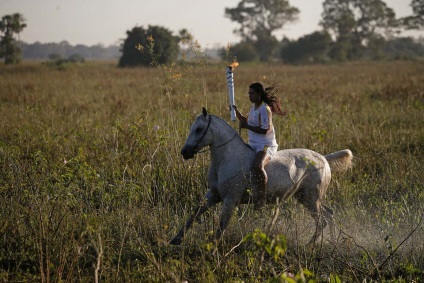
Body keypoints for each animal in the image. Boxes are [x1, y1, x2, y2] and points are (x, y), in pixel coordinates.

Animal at [171, 108, 352, 246]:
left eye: (199, 129)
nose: (185, 152)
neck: (227, 159)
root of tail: (324, 159)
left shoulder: (230, 199)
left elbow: (222, 225)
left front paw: (213, 247)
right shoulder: (213, 195)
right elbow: (194, 214)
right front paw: (175, 240)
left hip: (311, 199)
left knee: (322, 221)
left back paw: (309, 245)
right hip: (307, 198)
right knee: (329, 215)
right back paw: (332, 243)